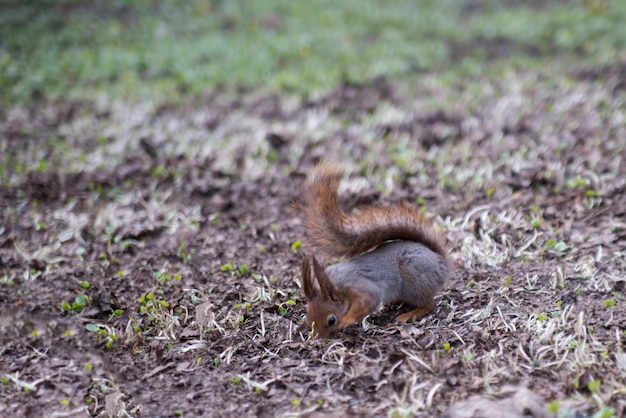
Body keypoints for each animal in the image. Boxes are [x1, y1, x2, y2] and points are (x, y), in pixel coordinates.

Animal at [294, 163, 450, 340]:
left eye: (331, 320)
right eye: (308, 319)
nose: (319, 339)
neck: (337, 284)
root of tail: (441, 262)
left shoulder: (361, 287)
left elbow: (368, 302)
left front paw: (346, 320)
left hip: (415, 280)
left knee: (428, 304)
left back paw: (412, 313)